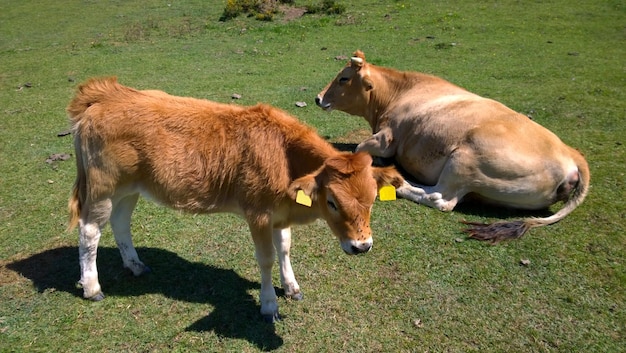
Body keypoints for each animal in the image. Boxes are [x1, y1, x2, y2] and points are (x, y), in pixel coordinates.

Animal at [67, 77, 400, 322]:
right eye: (332, 201)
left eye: (372, 200)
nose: (362, 246)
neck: (285, 154)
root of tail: (104, 95)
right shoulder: (258, 214)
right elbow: (266, 258)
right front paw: (269, 305)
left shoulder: (280, 215)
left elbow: (285, 248)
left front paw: (291, 286)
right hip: (102, 187)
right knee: (89, 232)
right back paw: (92, 286)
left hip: (130, 188)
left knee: (120, 223)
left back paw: (135, 265)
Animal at [314, 50, 588, 242]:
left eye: (343, 78)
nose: (317, 98)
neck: (398, 93)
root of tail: (571, 154)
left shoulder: (386, 139)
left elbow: (360, 147)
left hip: (464, 161)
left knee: (440, 198)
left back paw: (400, 184)